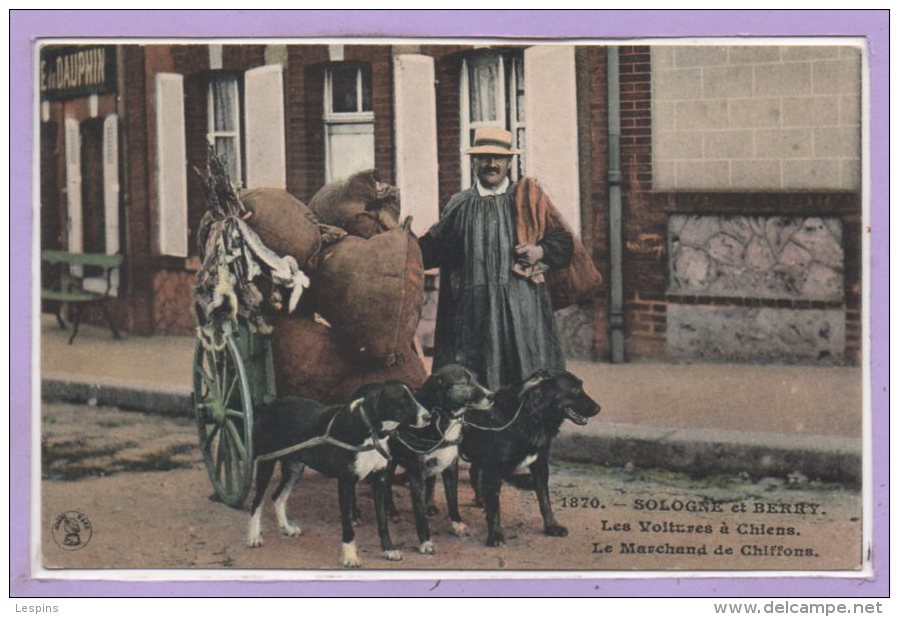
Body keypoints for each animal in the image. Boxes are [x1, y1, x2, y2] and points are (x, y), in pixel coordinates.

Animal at [246, 380, 428, 568]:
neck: (369, 431)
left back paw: (286, 528)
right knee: (256, 501)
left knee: (277, 496)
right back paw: (254, 536)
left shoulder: (380, 480)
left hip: (294, 468)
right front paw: (350, 556)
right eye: (402, 399)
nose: (428, 417)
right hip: (266, 463)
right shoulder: (345, 483)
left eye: (414, 396)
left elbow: (382, 520)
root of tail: (270, 406)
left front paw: (389, 549)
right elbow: (348, 525)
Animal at [382, 364, 492, 556]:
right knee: (385, 485)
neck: (440, 419)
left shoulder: (451, 466)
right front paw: (425, 541)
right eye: (463, 383)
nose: (492, 395)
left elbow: (452, 499)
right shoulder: (415, 473)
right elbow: (419, 511)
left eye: (477, 379)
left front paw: (457, 524)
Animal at [460, 370, 600, 544]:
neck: (528, 416)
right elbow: (495, 506)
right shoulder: (494, 467)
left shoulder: (540, 464)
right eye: (575, 389)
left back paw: (480, 501)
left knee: (473, 472)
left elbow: (545, 500)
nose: (598, 408)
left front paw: (551, 527)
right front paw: (495, 535)